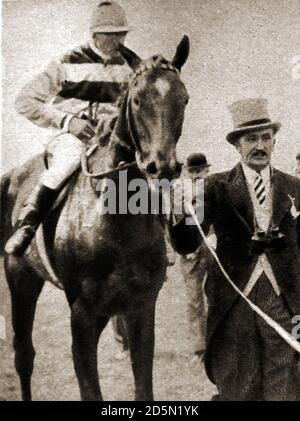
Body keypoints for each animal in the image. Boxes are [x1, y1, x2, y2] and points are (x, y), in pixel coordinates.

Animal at [0, 37, 190, 400]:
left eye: (183, 98)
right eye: (137, 98)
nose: (162, 166)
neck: (114, 220)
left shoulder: (141, 307)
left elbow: (143, 387)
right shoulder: (83, 314)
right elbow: (89, 387)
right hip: (20, 277)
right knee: (23, 355)